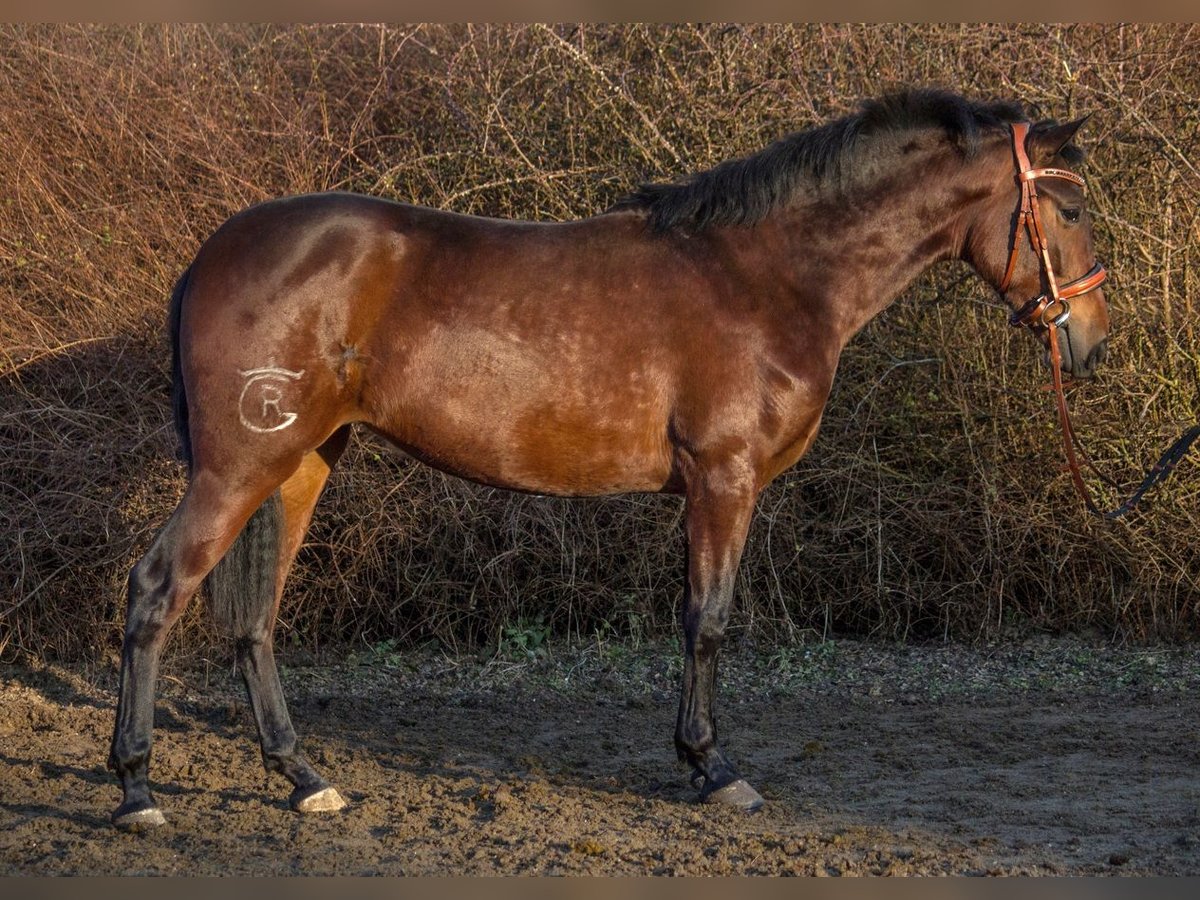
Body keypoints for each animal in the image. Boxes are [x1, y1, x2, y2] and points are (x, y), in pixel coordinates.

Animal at [108, 91, 1108, 830]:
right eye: (1068, 208)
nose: (1091, 342)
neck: (767, 275)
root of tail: (212, 255)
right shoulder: (722, 480)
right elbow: (708, 621)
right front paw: (713, 768)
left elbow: (693, 618)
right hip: (240, 466)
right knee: (158, 590)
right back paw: (136, 789)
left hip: (302, 462)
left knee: (254, 618)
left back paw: (303, 777)